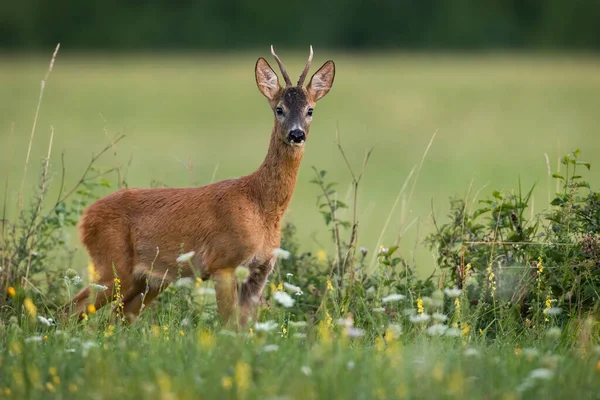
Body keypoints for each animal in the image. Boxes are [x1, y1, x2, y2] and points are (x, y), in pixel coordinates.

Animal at [62, 47, 336, 326]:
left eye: (310, 110)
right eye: (279, 109)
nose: (296, 134)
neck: (260, 205)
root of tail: (86, 217)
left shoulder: (260, 270)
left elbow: (246, 327)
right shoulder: (223, 263)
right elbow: (227, 325)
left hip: (147, 280)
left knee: (117, 316)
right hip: (112, 264)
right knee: (70, 310)